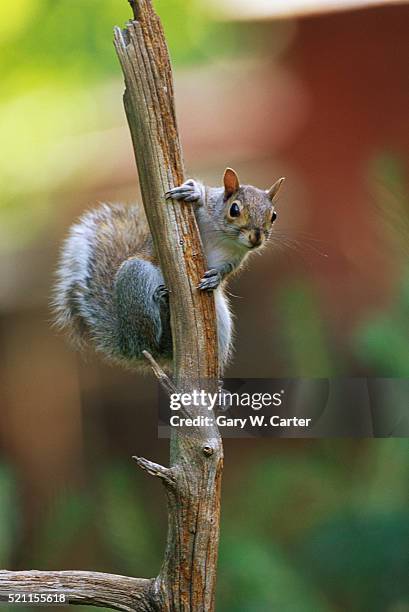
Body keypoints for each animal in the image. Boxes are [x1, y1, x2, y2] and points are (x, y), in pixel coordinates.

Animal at [52, 165, 284, 370]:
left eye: (273, 215)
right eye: (234, 209)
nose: (256, 238)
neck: (225, 237)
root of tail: (127, 342)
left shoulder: (236, 257)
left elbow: (227, 270)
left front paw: (216, 278)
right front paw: (193, 192)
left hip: (221, 319)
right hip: (135, 278)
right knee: (150, 343)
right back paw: (162, 310)